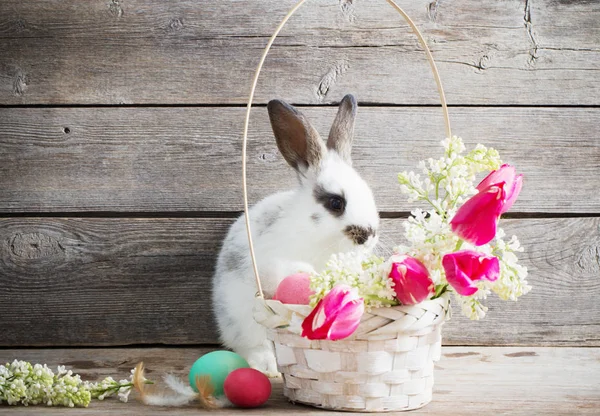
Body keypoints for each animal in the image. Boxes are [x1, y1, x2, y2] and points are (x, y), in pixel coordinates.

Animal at [212, 95, 380, 376]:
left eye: (369, 193)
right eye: (336, 203)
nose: (369, 234)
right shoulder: (269, 264)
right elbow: (286, 271)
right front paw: (309, 276)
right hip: (242, 319)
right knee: (253, 346)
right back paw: (267, 366)